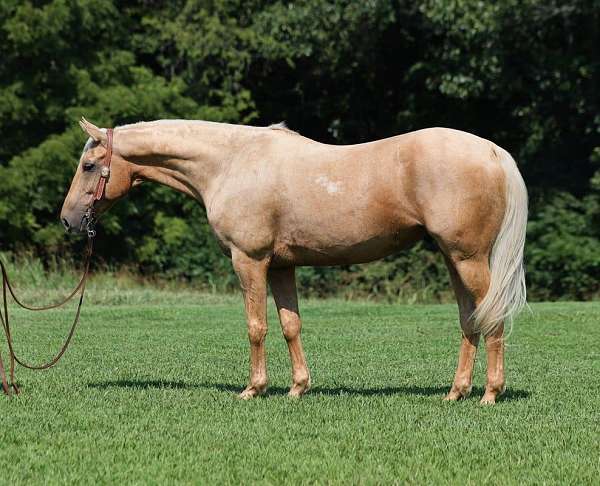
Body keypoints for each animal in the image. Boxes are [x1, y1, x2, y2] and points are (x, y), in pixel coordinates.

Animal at [62, 117, 524, 402]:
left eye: (88, 166)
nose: (67, 220)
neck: (231, 162)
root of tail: (491, 150)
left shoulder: (249, 260)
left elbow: (256, 326)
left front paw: (254, 388)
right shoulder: (282, 265)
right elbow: (290, 325)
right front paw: (298, 387)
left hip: (468, 258)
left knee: (492, 318)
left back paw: (489, 394)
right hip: (454, 259)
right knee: (470, 320)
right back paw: (456, 392)